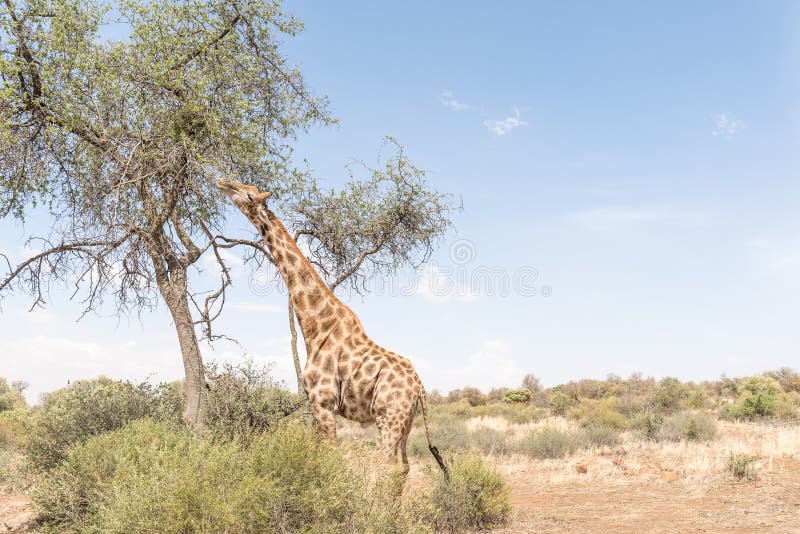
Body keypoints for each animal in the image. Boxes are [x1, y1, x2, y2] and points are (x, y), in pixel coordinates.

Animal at [219, 180, 450, 482]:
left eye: (248, 194)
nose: (223, 182)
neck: (315, 328)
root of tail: (420, 388)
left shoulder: (323, 403)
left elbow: (330, 459)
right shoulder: (317, 406)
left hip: (389, 417)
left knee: (389, 467)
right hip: (405, 423)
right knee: (404, 467)